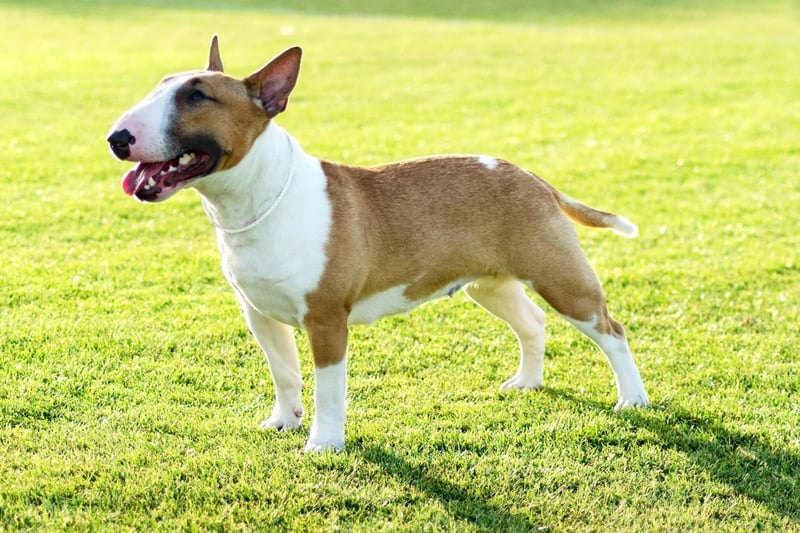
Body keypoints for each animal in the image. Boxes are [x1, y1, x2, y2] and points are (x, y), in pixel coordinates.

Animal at [106, 37, 648, 450]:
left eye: (198, 97)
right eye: (159, 87)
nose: (116, 138)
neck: (258, 199)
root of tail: (532, 177)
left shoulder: (326, 321)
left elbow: (328, 389)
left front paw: (323, 445)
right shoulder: (258, 313)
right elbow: (284, 373)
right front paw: (283, 421)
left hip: (559, 277)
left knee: (611, 330)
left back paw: (632, 399)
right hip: (489, 284)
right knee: (533, 322)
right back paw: (527, 382)